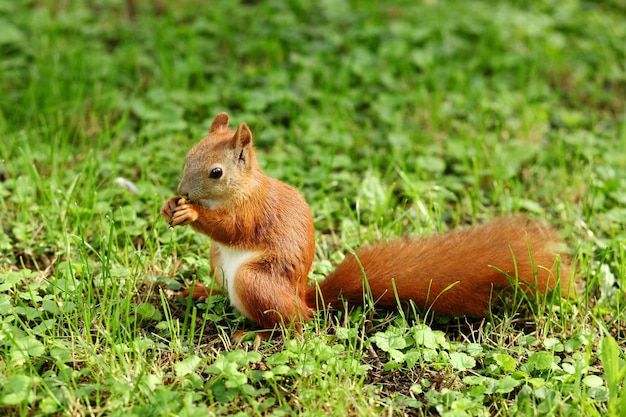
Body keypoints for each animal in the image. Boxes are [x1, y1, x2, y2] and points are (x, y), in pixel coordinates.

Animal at [160, 113, 572, 332]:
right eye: (189, 154)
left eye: (216, 172)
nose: (182, 190)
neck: (242, 189)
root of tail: (303, 295)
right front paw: (169, 206)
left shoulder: (254, 212)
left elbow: (231, 229)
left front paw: (192, 213)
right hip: (219, 262)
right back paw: (200, 291)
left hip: (256, 281)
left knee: (298, 324)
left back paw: (258, 336)